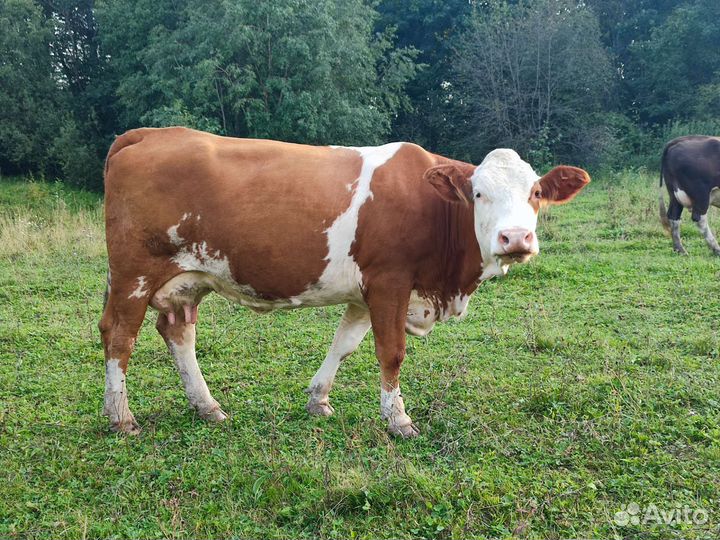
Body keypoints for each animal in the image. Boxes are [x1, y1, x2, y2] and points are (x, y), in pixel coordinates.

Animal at [100, 127, 589, 437]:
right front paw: (398, 421)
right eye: (478, 193)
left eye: (536, 193)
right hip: (133, 273)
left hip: (187, 278)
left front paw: (318, 400)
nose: (516, 238)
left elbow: (345, 343)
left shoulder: (366, 290)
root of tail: (150, 133)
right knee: (118, 336)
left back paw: (207, 407)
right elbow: (391, 352)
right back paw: (121, 417)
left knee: (178, 334)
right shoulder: (390, 279)